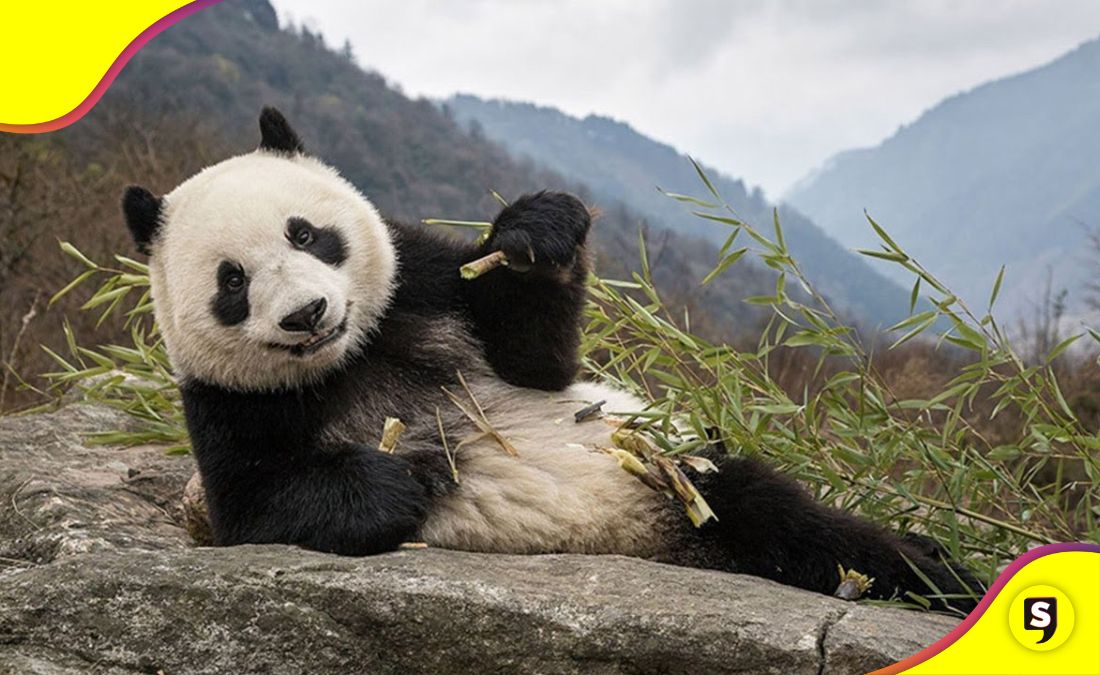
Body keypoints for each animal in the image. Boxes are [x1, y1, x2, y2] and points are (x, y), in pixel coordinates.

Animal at [121, 107, 978, 611]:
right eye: (233, 281)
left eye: (307, 233)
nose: (308, 313)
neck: (355, 354)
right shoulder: (228, 401)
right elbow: (254, 506)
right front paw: (397, 479)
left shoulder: (420, 282)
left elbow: (536, 360)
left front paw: (536, 233)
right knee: (774, 523)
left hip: (661, 473)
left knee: (784, 513)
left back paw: (940, 572)